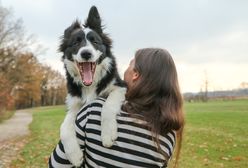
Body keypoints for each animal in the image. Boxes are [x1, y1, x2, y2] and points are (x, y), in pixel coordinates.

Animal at [59, 5, 126, 166]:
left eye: (95, 42)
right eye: (76, 43)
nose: (86, 53)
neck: (89, 86)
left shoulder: (120, 86)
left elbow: (108, 105)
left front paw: (108, 134)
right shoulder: (75, 104)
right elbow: (63, 126)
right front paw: (74, 156)